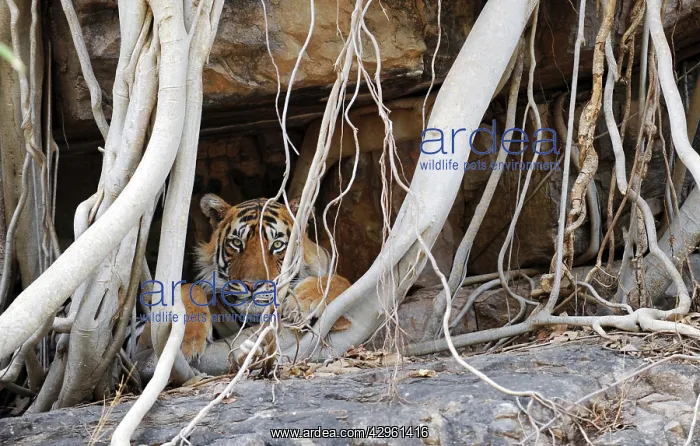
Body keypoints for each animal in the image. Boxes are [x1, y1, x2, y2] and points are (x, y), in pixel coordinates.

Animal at [137, 193, 352, 370]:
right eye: (236, 243)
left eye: (277, 245)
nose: (251, 285)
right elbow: (188, 288)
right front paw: (185, 342)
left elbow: (340, 280)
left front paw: (303, 303)